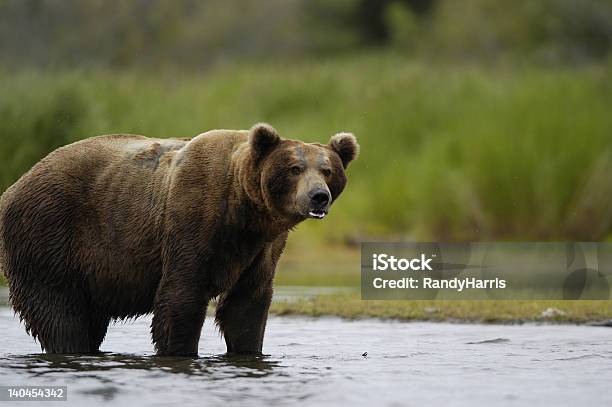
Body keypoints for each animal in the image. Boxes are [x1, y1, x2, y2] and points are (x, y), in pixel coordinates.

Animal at [0, 124, 358, 356]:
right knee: (60, 314)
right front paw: (181, 351)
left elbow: (247, 305)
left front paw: (248, 351)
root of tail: (14, 186)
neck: (244, 211)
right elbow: (180, 297)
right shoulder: (193, 218)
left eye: (327, 170)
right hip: (50, 234)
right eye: (295, 168)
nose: (318, 197)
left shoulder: (263, 247)